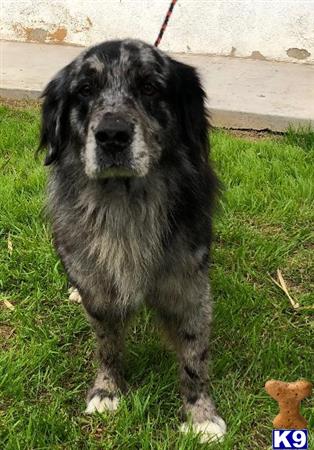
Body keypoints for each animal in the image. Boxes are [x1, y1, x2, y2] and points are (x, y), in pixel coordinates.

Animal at [38, 38, 226, 442]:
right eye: (84, 90)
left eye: (150, 88)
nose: (112, 135)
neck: (124, 204)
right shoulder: (99, 290)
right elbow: (107, 345)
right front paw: (107, 390)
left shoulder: (188, 288)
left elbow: (194, 355)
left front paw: (200, 414)